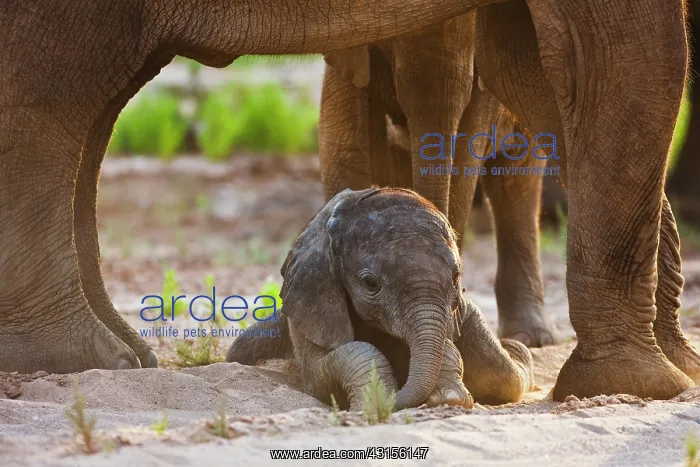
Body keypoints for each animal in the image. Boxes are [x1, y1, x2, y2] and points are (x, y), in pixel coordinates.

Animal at [227, 187, 535, 410]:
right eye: (371, 284)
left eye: (456, 277)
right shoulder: (311, 302)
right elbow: (322, 371)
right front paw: (375, 400)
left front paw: (448, 398)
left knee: (505, 376)